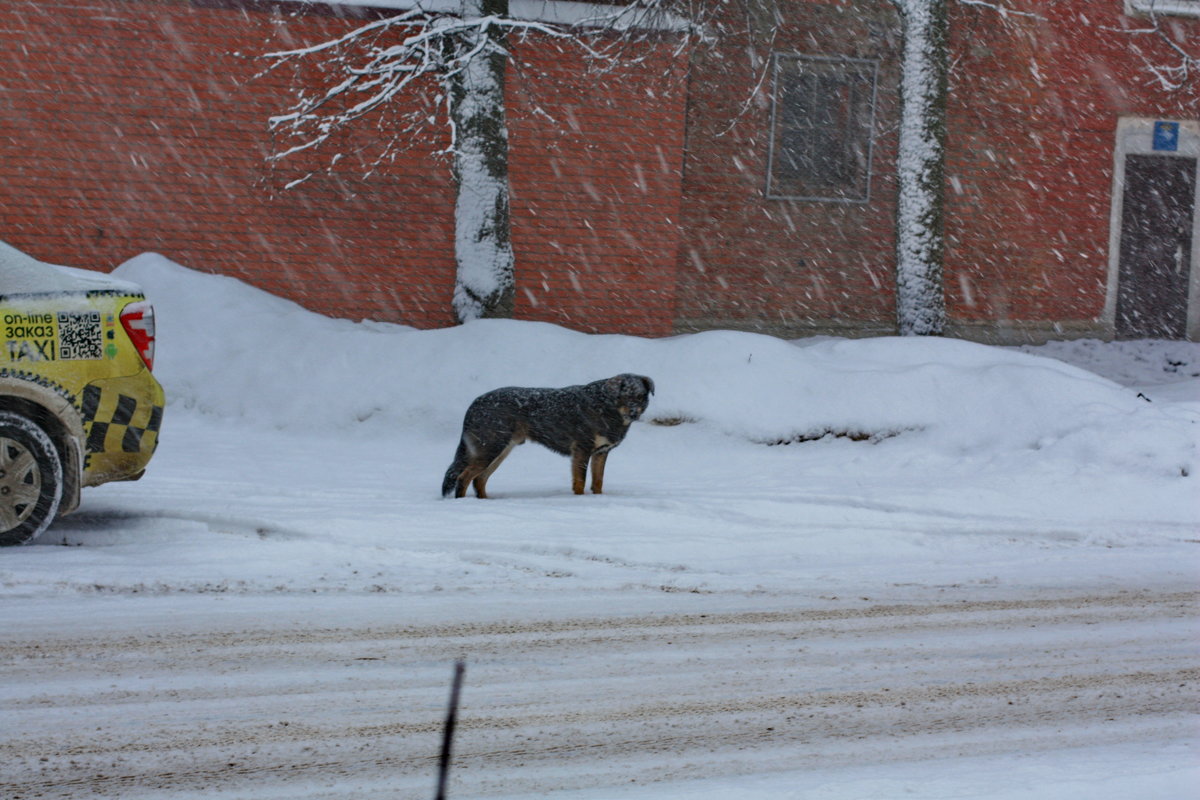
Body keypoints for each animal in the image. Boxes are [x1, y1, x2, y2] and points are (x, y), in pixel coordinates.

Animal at [441, 374, 652, 496]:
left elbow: (598, 482)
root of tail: (474, 404)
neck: (606, 407)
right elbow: (580, 482)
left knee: (479, 479)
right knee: (464, 477)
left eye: (641, 396)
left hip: (500, 451)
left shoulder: (601, 452)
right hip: (491, 448)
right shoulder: (582, 450)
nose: (635, 413)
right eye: (625, 396)